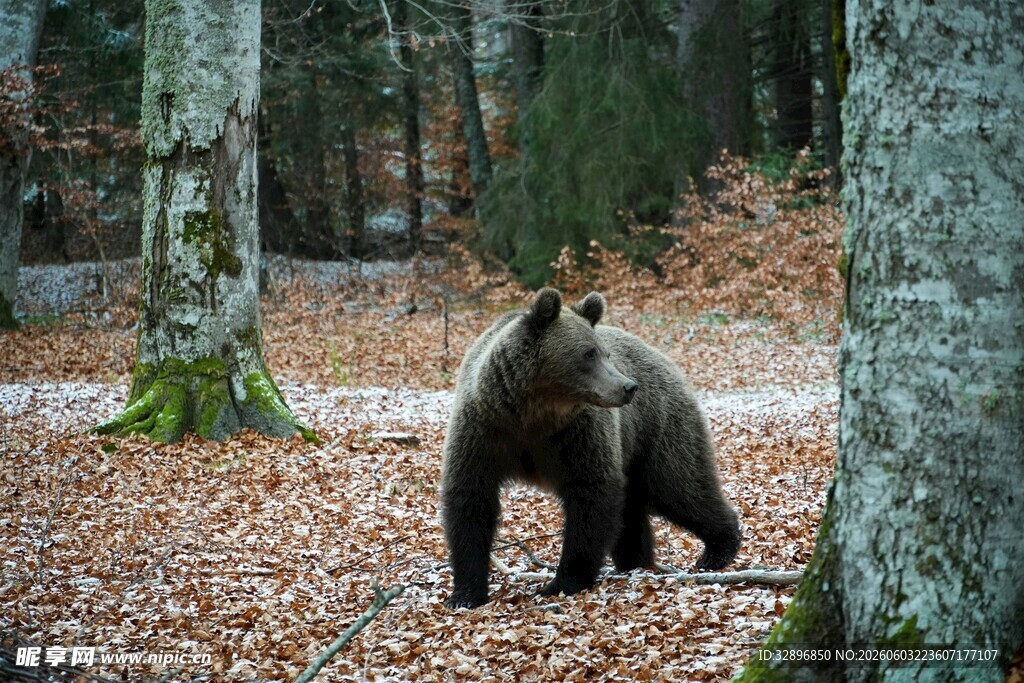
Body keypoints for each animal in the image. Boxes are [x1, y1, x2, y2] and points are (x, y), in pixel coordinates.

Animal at [440, 288, 741, 608]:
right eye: (589, 353)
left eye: (604, 352)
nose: (628, 387)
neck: (532, 416)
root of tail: (661, 355)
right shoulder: (485, 432)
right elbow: (471, 500)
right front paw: (465, 593)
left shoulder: (578, 435)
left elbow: (591, 494)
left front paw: (563, 581)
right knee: (636, 505)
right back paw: (635, 561)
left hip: (657, 425)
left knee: (679, 485)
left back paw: (718, 550)